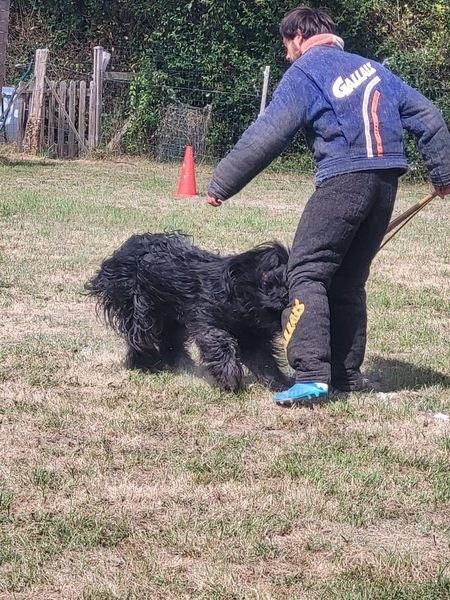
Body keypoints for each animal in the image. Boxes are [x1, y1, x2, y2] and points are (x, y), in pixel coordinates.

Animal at [87, 232, 292, 392]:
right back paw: (144, 365)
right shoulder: (207, 318)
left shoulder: (252, 337)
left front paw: (282, 383)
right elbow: (219, 342)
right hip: (140, 310)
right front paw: (229, 376)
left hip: (169, 316)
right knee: (140, 338)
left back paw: (180, 363)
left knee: (170, 341)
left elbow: (264, 361)